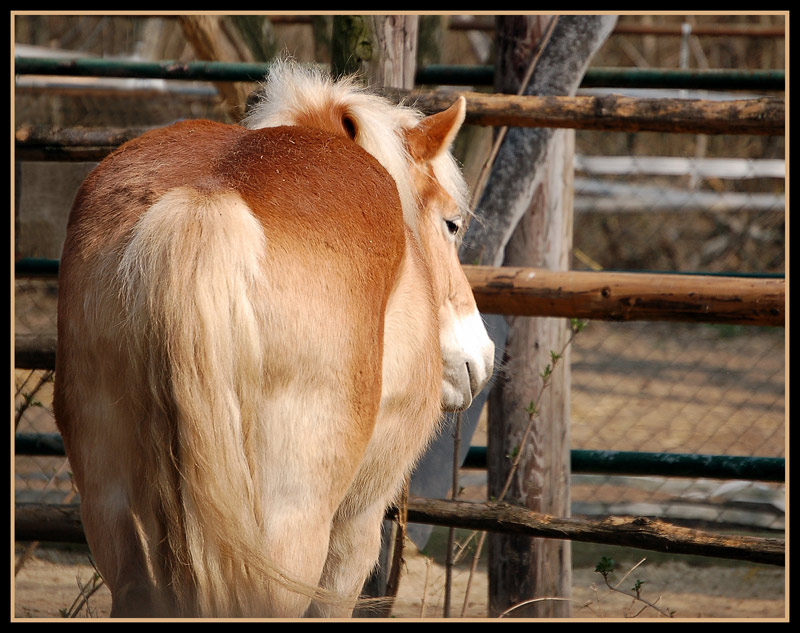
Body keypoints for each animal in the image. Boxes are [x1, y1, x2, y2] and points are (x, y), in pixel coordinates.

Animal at [53, 60, 490, 616]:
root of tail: (204, 202)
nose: (480, 358)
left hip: (118, 526)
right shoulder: (359, 521)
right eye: (451, 224)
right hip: (293, 529)